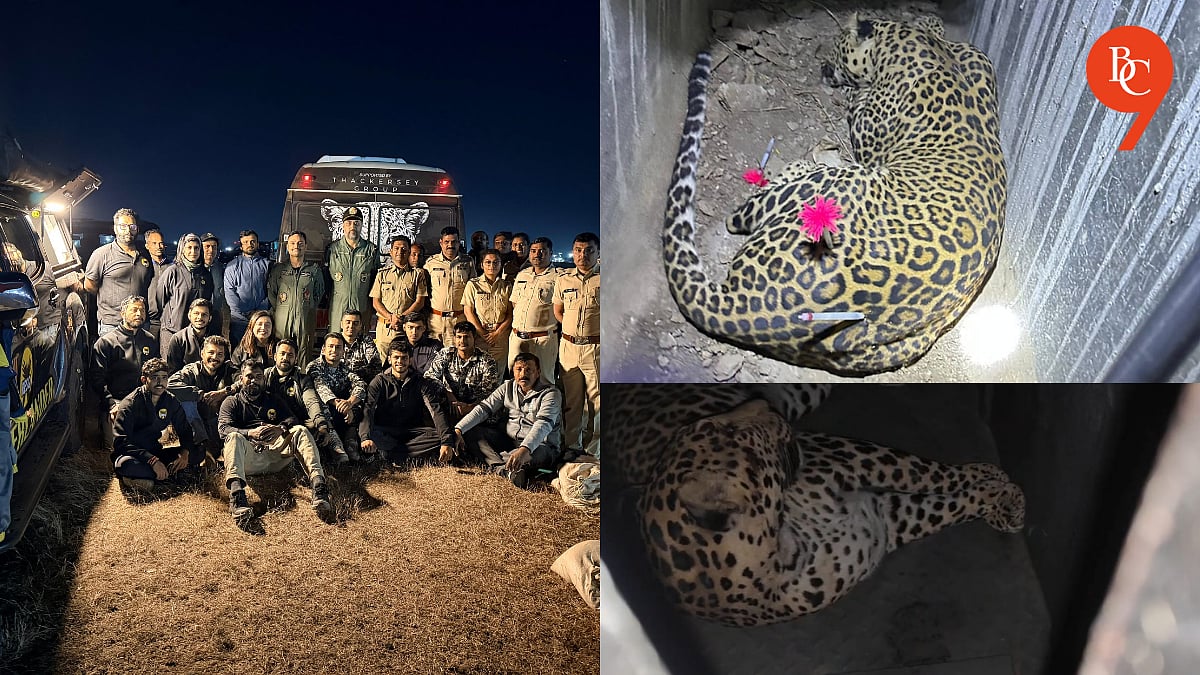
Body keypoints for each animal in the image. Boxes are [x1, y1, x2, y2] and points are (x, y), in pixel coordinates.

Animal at [613, 385, 1025, 627]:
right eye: (729, 432)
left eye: (713, 427)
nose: (762, 401)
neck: (783, 545)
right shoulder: (884, 519)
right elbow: (944, 503)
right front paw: (999, 494)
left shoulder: (853, 458)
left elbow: (929, 474)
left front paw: (995, 484)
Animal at [662, 15, 1007, 376]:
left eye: (837, 48)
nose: (823, 65)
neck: (925, 46)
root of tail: (745, 309)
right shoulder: (979, 60)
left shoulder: (870, 132)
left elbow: (860, 102)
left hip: (833, 181)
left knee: (742, 213)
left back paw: (798, 166)